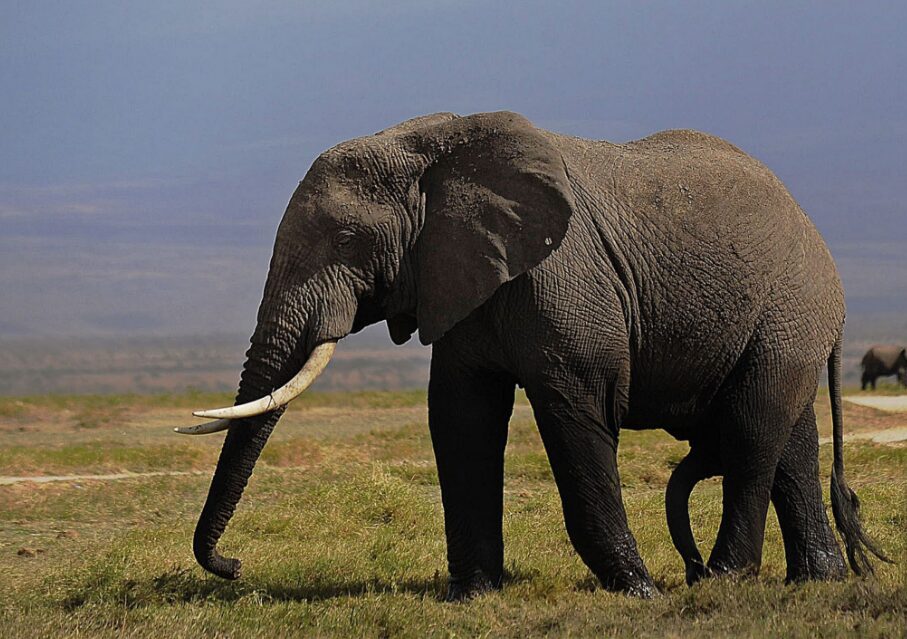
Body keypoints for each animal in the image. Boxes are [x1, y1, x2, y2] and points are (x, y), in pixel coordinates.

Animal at [177, 111, 888, 600]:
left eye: (349, 239)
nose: (234, 567)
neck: (434, 146)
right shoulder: (460, 279)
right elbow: (460, 418)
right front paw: (471, 597)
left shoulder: (563, 282)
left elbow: (577, 411)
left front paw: (636, 592)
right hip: (784, 322)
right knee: (789, 441)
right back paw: (816, 582)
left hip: (790, 307)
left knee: (751, 430)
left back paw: (721, 581)